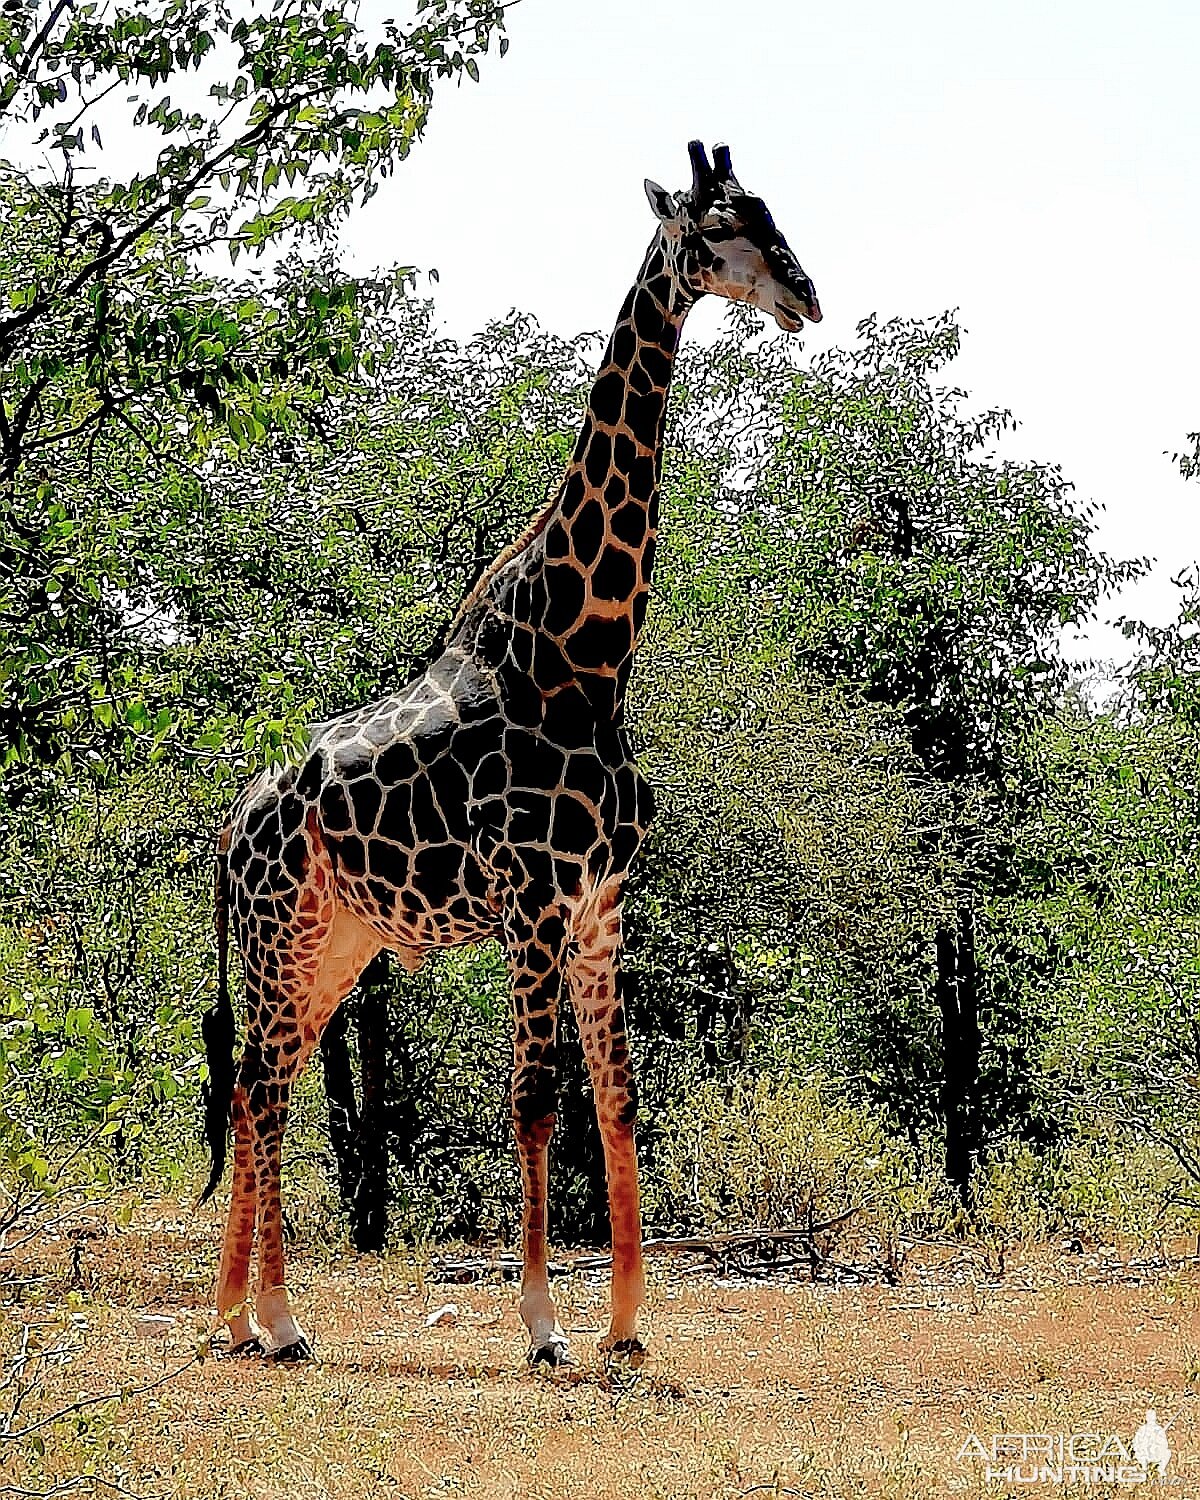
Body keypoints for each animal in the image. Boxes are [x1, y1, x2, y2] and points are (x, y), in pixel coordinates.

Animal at [201, 143, 822, 1374]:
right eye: (719, 226)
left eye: (773, 214)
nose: (806, 294)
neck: (584, 653)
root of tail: (229, 834)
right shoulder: (534, 898)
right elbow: (535, 1097)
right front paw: (542, 1325)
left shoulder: (604, 901)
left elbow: (617, 1101)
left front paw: (627, 1326)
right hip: (280, 935)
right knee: (265, 1084)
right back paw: (278, 1319)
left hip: (337, 943)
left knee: (259, 1080)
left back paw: (240, 1315)